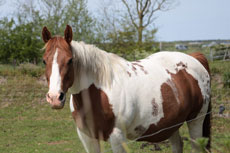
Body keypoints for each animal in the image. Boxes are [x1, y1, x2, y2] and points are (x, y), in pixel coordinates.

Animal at [41, 24, 212, 152]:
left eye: (70, 60)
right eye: (44, 61)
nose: (55, 98)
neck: (100, 92)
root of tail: (195, 58)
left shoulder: (117, 138)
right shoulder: (88, 138)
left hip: (196, 121)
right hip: (172, 124)